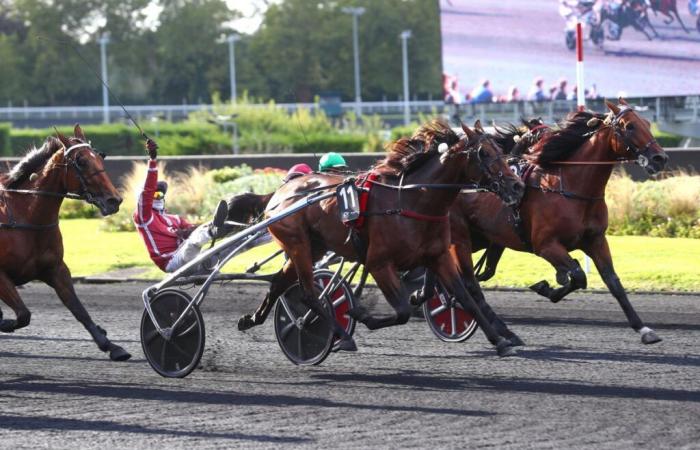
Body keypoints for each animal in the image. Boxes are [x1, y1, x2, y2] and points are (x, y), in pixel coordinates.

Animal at [0, 125, 130, 360]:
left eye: (99, 157)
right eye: (81, 161)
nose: (114, 200)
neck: (25, 216)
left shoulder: (55, 269)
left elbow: (78, 309)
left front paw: (111, 345)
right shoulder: (0, 275)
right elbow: (23, 314)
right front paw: (4, 323)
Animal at [238, 119, 524, 356]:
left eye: (500, 150)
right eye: (484, 153)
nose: (517, 185)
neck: (411, 200)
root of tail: (279, 192)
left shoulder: (439, 256)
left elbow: (466, 297)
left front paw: (501, 340)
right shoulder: (379, 263)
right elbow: (403, 311)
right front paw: (361, 314)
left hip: (313, 246)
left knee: (278, 283)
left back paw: (251, 319)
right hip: (297, 243)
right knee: (308, 295)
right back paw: (339, 335)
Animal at [416, 99, 668, 344]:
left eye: (647, 123)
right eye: (629, 126)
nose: (660, 158)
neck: (569, 188)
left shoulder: (596, 240)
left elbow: (612, 282)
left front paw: (644, 329)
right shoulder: (545, 245)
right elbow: (578, 274)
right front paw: (547, 287)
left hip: (482, 239)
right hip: (460, 239)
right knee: (468, 282)